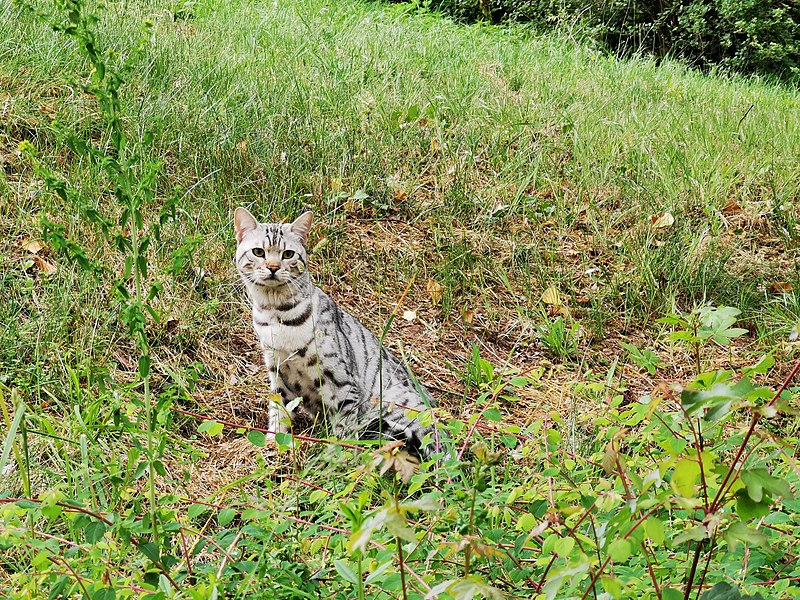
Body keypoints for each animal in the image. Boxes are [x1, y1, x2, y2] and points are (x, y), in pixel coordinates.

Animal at [234, 207, 440, 460]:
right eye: (258, 252)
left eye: (288, 254)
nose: (273, 267)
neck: (275, 313)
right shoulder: (277, 371)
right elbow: (278, 411)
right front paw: (274, 443)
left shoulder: (341, 383)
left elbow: (344, 429)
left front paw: (337, 457)